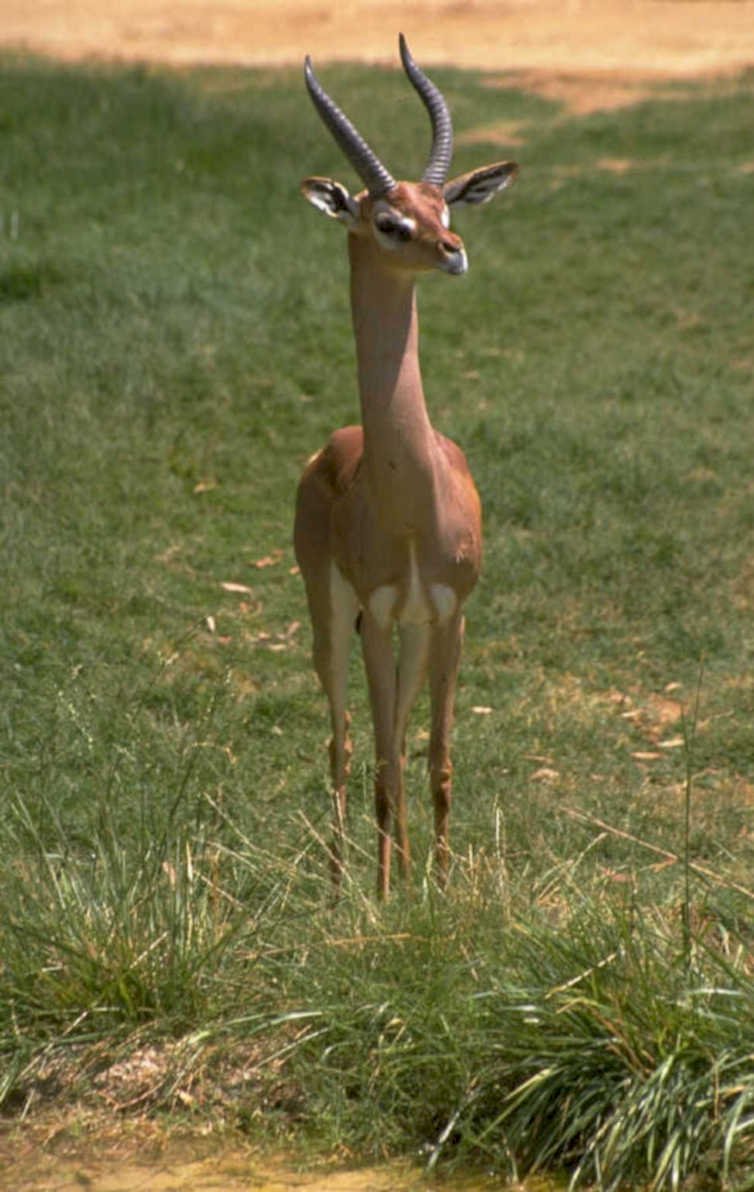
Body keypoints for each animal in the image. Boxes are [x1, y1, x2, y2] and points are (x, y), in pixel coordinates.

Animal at [294, 35, 518, 897]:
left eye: (445, 207)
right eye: (389, 222)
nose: (453, 253)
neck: (414, 506)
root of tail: (336, 442)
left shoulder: (450, 614)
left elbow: (439, 761)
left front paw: (444, 889)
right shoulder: (381, 614)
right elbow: (389, 764)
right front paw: (389, 899)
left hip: (417, 635)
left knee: (392, 738)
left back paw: (403, 866)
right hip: (332, 614)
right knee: (348, 741)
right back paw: (341, 881)